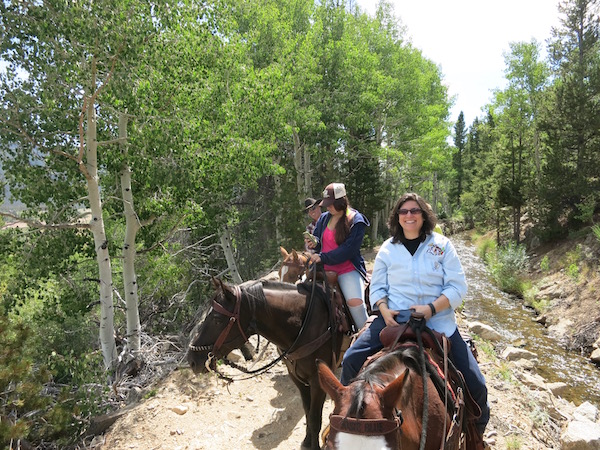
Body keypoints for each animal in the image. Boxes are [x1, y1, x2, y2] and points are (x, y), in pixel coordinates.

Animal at [188, 278, 346, 450]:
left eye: (217, 319)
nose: (192, 360)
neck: (305, 326)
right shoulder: (297, 378)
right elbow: (307, 411)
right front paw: (306, 440)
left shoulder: (317, 382)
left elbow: (315, 418)